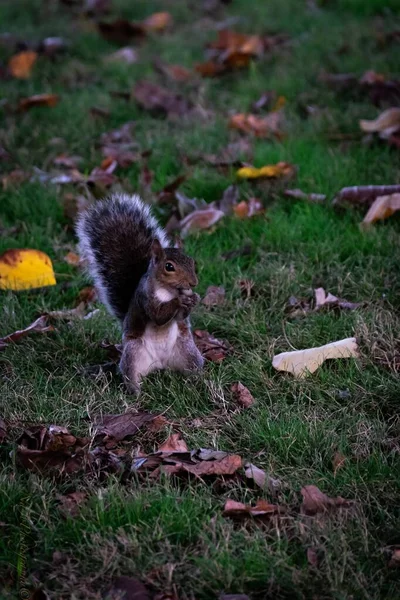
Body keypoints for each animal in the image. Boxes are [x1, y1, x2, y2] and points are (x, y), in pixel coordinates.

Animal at [77, 195, 205, 396]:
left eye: (191, 261)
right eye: (169, 267)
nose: (193, 283)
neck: (168, 290)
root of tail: (161, 364)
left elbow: (179, 317)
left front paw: (194, 299)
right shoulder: (144, 297)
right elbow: (158, 316)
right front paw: (180, 300)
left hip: (188, 352)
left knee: (192, 368)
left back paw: (198, 382)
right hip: (133, 354)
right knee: (131, 374)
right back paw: (136, 392)